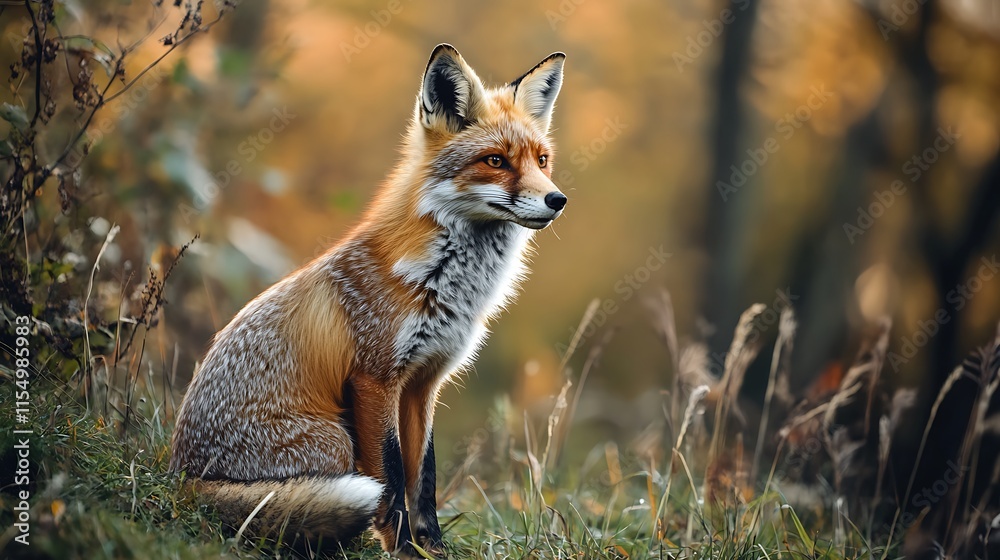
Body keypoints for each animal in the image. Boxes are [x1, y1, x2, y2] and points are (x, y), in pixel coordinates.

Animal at [169, 44, 567, 559]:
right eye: (496, 160)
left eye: (542, 160)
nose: (557, 199)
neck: (445, 283)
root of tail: (182, 478)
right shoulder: (374, 379)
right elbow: (392, 479)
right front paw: (401, 549)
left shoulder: (423, 383)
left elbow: (424, 479)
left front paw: (431, 549)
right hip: (336, 440)